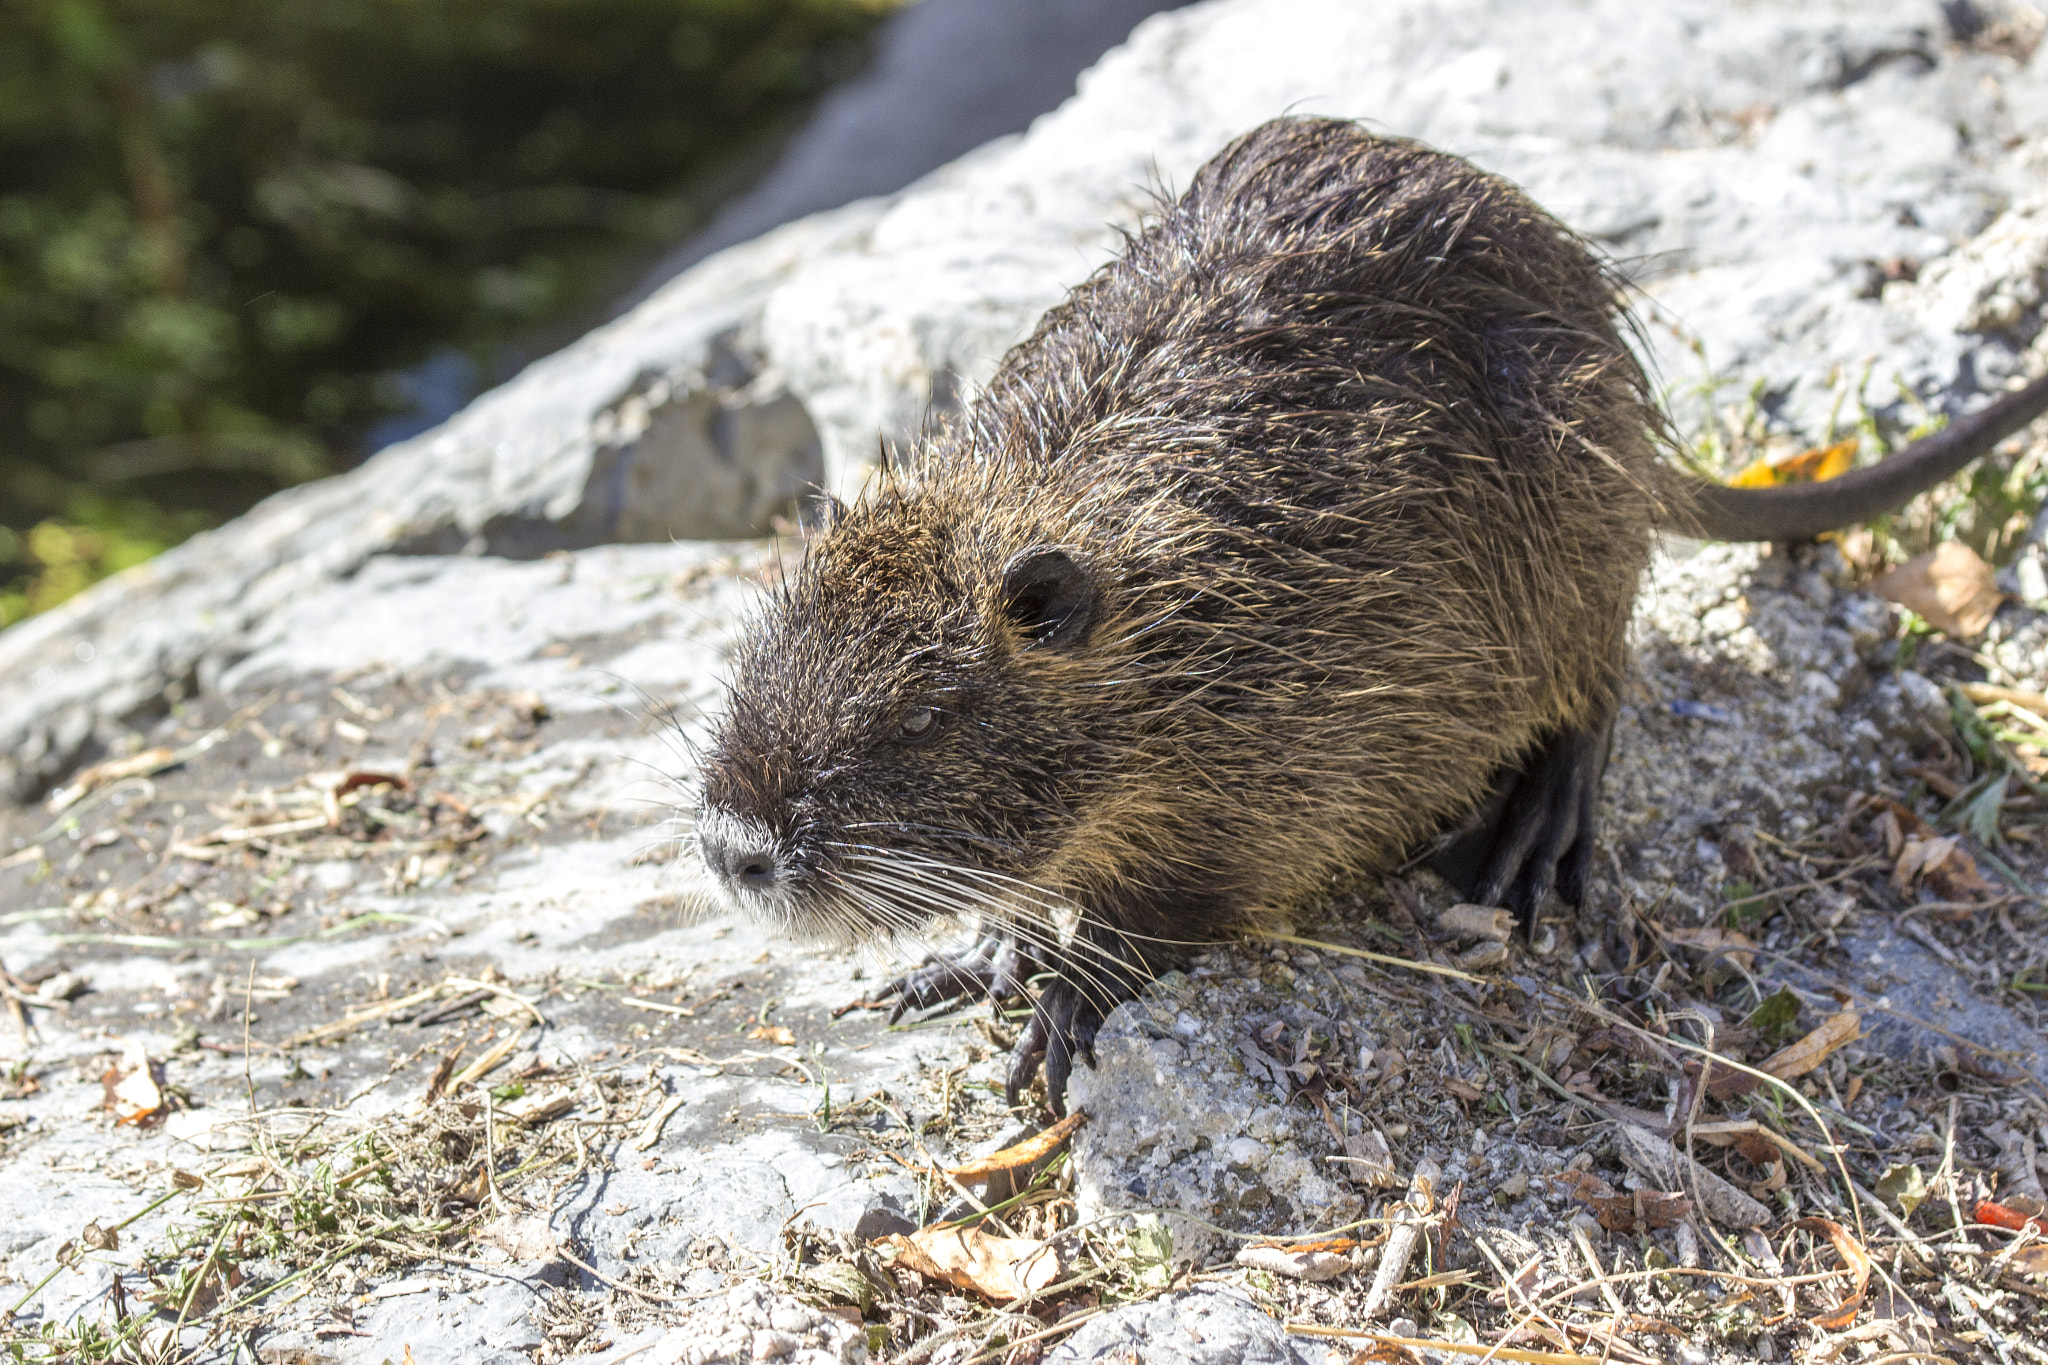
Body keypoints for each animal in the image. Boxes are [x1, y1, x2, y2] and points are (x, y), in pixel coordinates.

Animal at [694, 118, 2048, 1113]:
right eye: (760, 649)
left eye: (924, 716)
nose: (732, 846)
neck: (1162, 600)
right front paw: (972, 961)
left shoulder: (1293, 757)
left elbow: (1185, 907)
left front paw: (1058, 1005)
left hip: (1573, 522)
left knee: (1597, 682)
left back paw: (1530, 839)